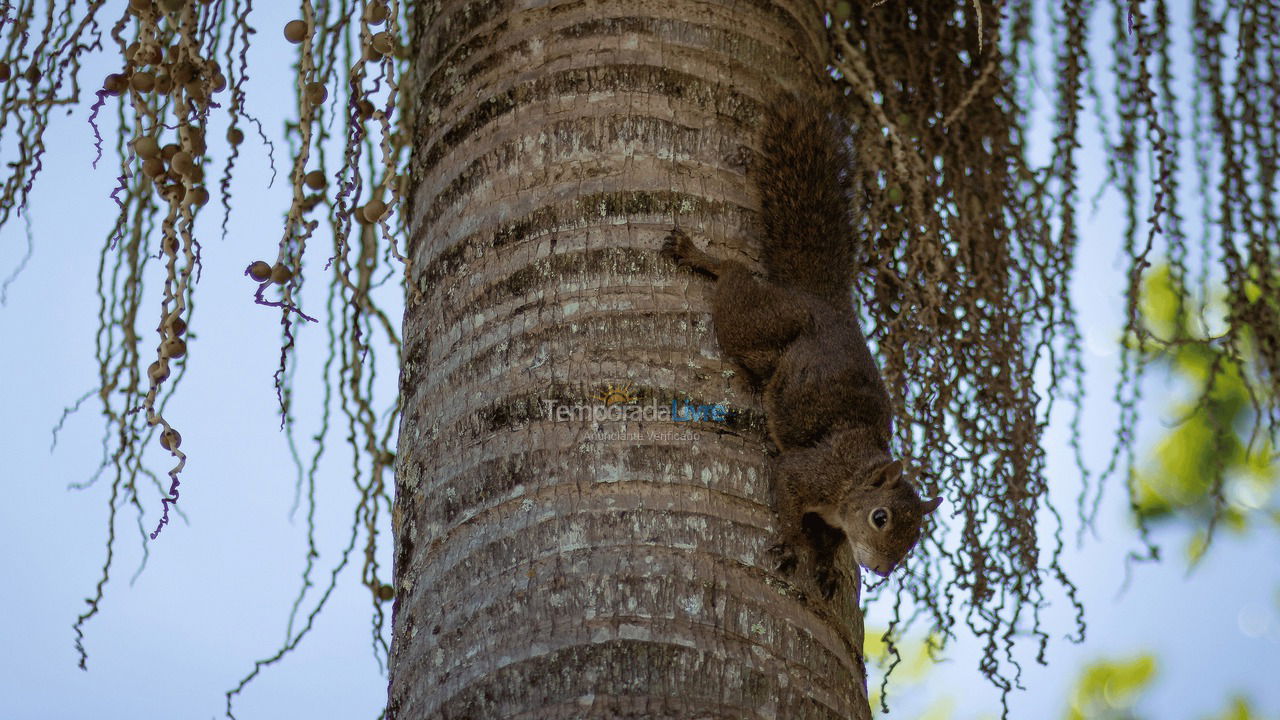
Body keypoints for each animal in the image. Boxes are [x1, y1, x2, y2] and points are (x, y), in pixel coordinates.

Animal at [660, 90, 942, 594]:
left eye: (915, 540)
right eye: (881, 517)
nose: (883, 571)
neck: (854, 477)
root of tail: (821, 302)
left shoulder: (833, 520)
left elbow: (829, 543)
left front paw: (827, 567)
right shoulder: (808, 472)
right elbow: (789, 502)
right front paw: (792, 546)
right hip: (762, 323)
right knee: (734, 280)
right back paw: (700, 258)